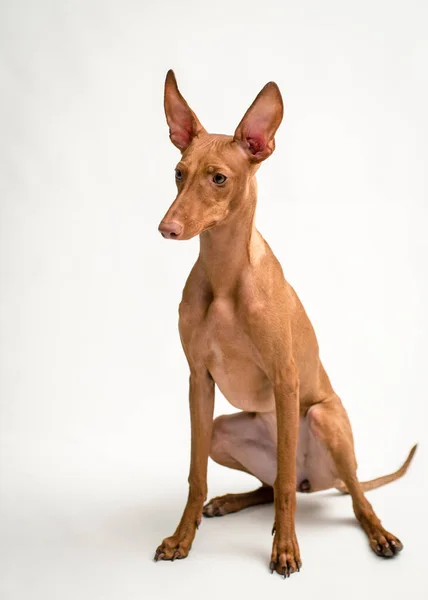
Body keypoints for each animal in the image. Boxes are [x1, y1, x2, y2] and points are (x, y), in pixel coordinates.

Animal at [155, 70, 416, 576]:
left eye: (219, 178)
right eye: (178, 173)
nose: (167, 228)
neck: (225, 277)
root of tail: (316, 478)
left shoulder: (286, 378)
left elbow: (288, 498)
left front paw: (286, 548)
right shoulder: (198, 381)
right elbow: (195, 476)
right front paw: (182, 537)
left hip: (324, 420)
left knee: (344, 493)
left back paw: (378, 533)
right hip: (222, 431)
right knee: (276, 485)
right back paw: (232, 500)